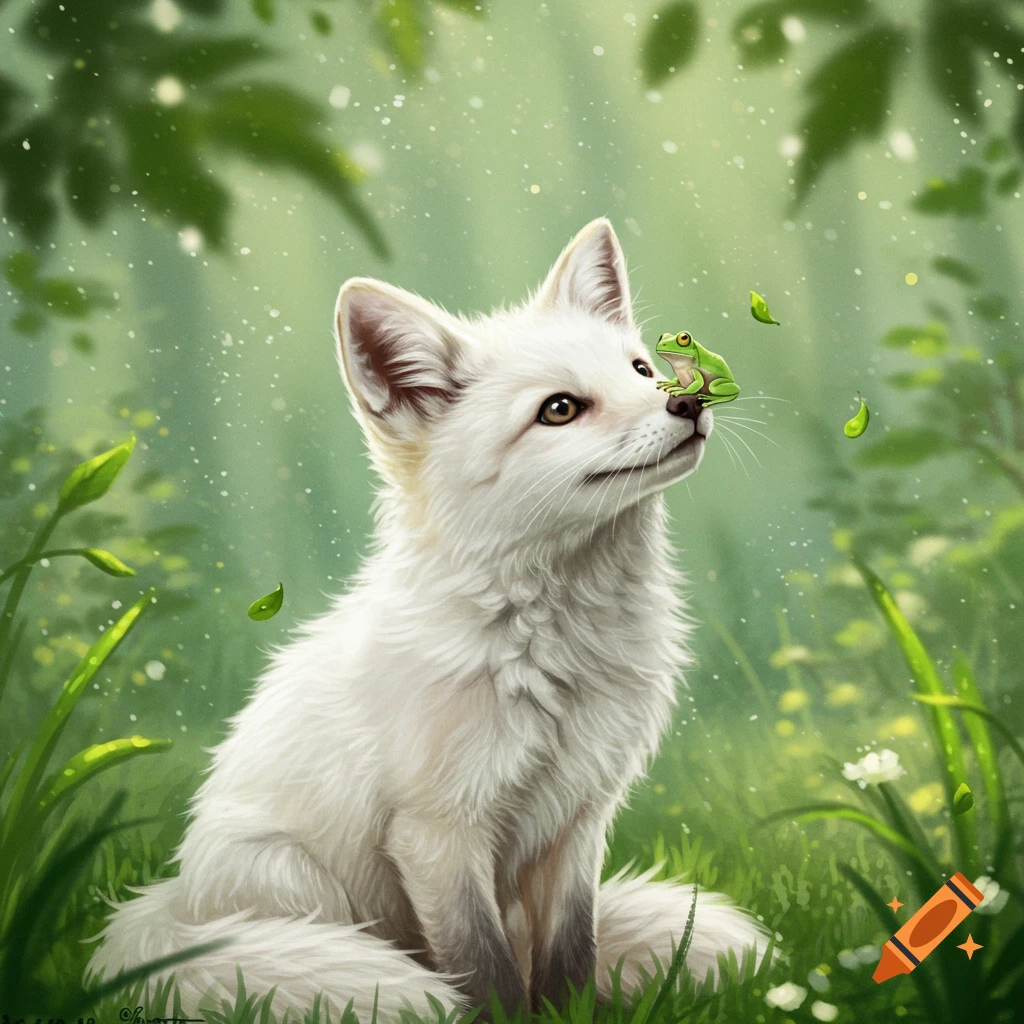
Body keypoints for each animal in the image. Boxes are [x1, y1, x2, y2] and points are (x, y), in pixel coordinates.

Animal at [86, 218, 771, 1022]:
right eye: (560, 409)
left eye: (641, 369)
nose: (689, 403)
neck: (553, 656)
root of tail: (168, 902)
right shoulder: (437, 834)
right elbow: (486, 973)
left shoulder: (575, 821)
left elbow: (570, 962)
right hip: (298, 881)